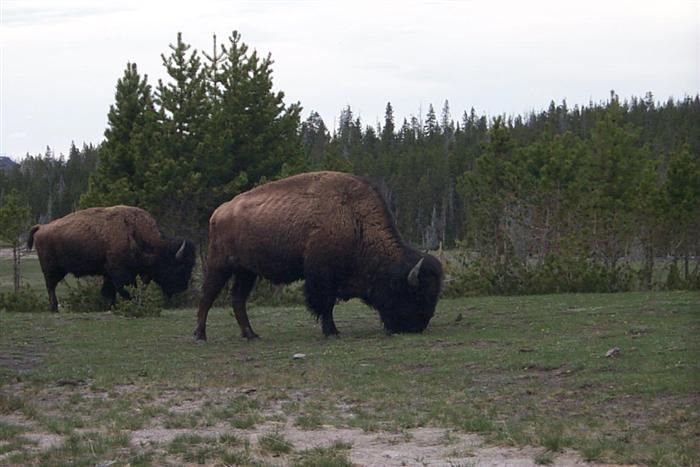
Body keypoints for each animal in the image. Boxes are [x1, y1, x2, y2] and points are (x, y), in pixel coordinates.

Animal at [27, 205, 196, 311]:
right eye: (180, 266)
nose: (182, 287)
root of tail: (42, 227)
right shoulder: (120, 272)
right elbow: (124, 290)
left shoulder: (109, 273)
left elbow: (109, 291)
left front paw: (112, 306)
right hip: (52, 269)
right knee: (51, 286)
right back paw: (54, 308)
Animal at [194, 171, 442, 340]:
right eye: (416, 295)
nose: (416, 327)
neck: (354, 219)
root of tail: (218, 212)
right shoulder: (322, 275)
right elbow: (326, 304)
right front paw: (332, 332)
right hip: (220, 264)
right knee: (207, 295)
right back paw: (200, 335)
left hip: (247, 271)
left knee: (238, 299)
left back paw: (251, 335)